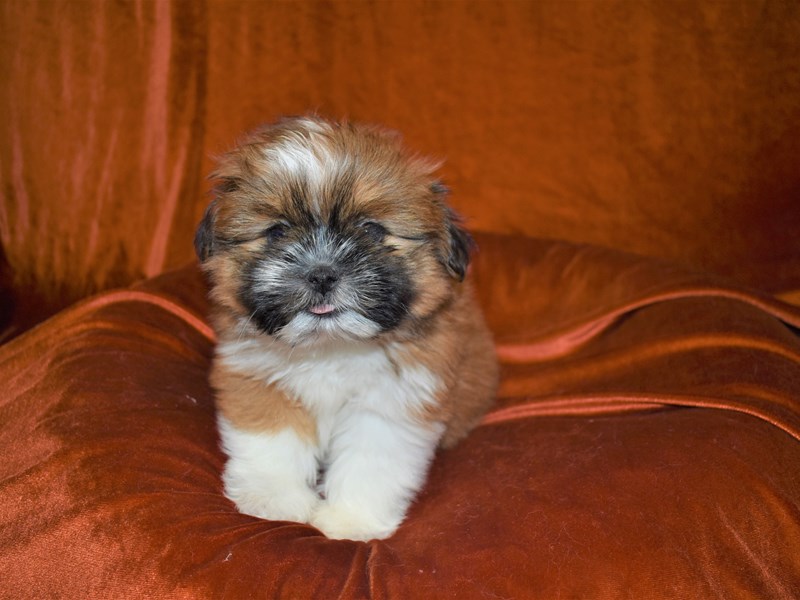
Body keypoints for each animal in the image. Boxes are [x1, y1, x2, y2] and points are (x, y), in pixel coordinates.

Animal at [195, 115, 494, 540]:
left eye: (371, 230)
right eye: (277, 232)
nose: (322, 274)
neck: (330, 346)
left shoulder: (393, 402)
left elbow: (369, 463)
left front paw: (350, 520)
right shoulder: (256, 378)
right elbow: (273, 441)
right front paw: (274, 499)